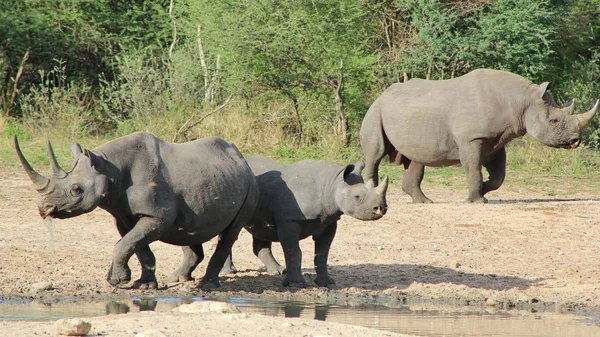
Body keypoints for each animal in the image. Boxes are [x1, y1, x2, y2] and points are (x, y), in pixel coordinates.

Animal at [14, 131, 258, 288]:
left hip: (249, 182)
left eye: (76, 190)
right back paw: (176, 279)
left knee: (229, 234)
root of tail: (241, 157)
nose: (44, 208)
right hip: (212, 180)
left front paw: (117, 282)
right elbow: (135, 245)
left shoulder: (156, 216)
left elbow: (126, 244)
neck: (108, 167)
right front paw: (143, 284)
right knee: (189, 229)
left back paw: (207, 286)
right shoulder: (123, 214)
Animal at [221, 156, 390, 286]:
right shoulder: (290, 220)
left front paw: (326, 283)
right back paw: (229, 271)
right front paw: (295, 284)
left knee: (262, 230)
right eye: (357, 197)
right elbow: (293, 250)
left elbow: (323, 252)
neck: (332, 184)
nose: (381, 208)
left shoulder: (329, 220)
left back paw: (278, 271)